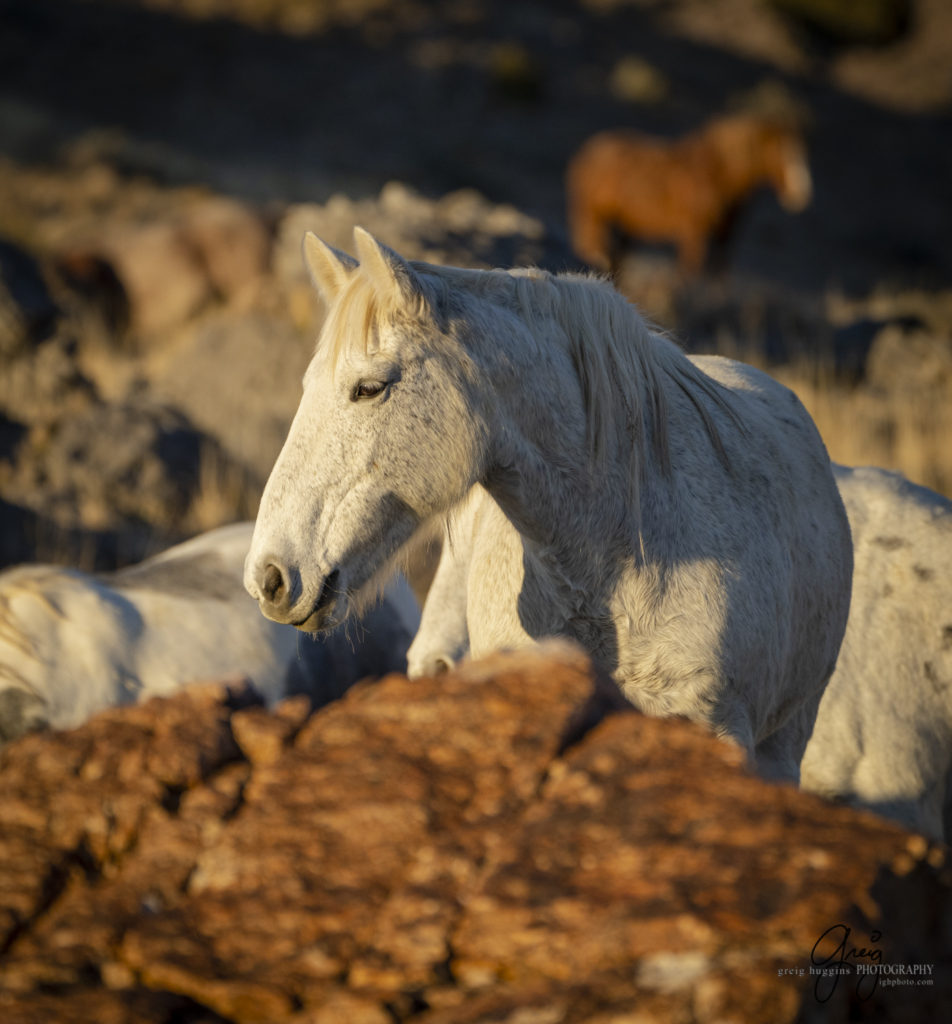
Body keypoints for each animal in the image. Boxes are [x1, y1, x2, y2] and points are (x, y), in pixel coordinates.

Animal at [565, 113, 810, 274]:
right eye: (780, 154)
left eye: (800, 153)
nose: (801, 193)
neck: (717, 174)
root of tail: (587, 151)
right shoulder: (694, 232)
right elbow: (690, 271)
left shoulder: (725, 236)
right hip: (592, 218)